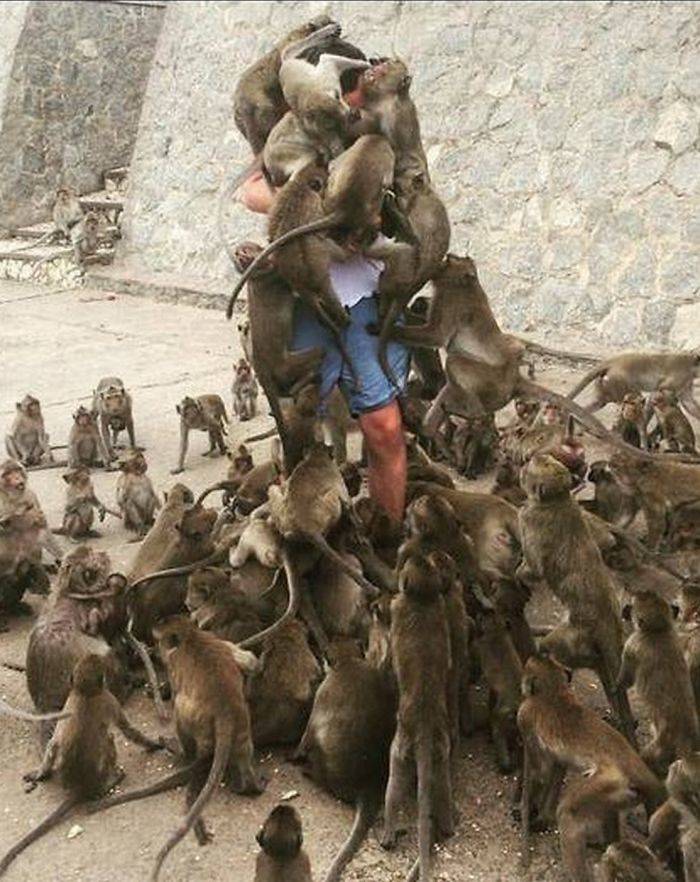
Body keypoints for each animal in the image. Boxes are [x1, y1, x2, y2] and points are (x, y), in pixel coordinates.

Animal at [0, 654, 163, 878]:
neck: (84, 692)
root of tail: (80, 786)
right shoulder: (108, 698)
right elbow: (128, 730)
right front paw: (155, 745)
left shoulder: (69, 701)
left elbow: (54, 742)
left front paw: (39, 774)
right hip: (101, 772)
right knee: (109, 738)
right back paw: (112, 781)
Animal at [517, 454, 636, 742]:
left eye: (529, 469)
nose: (523, 464)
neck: (557, 500)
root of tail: (608, 621)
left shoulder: (529, 520)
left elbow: (534, 568)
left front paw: (516, 575)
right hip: (589, 646)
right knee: (603, 670)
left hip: (576, 638)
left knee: (552, 645)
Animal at [517, 654, 665, 882]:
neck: (554, 690)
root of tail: (636, 767)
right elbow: (557, 767)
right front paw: (541, 818)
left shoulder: (525, 715)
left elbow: (540, 773)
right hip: (623, 792)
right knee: (608, 808)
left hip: (611, 780)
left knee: (569, 812)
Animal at [569, 350, 700, 418]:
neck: (692, 365)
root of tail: (612, 361)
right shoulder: (679, 377)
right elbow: (657, 392)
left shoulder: (685, 383)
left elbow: (689, 405)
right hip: (618, 380)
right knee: (633, 398)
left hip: (605, 383)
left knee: (599, 403)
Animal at [618, 591, 700, 774]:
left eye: (632, 607)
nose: (626, 608)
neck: (658, 631)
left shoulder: (634, 642)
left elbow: (626, 678)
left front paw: (617, 685)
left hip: (662, 744)